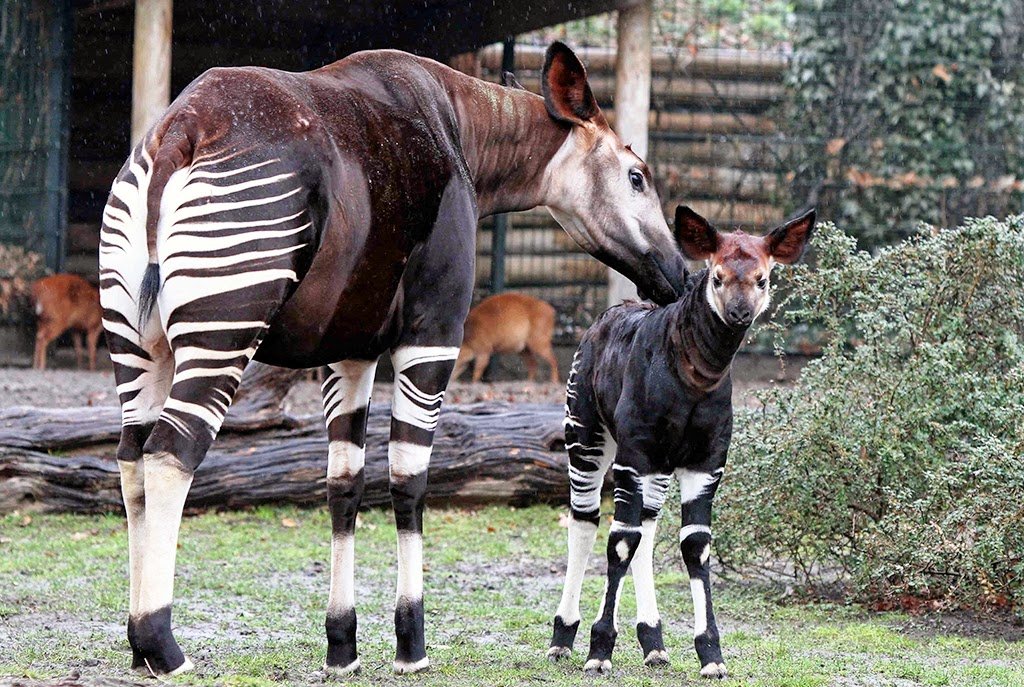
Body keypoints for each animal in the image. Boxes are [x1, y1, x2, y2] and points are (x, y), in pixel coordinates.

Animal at [99, 43, 684, 675]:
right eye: (637, 178)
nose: (678, 276)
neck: (464, 132)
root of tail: (182, 127)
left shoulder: (350, 351)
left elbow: (344, 486)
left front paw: (342, 646)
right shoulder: (434, 332)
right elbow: (410, 481)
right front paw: (412, 643)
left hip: (138, 342)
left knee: (132, 457)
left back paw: (136, 644)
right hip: (225, 328)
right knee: (170, 454)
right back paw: (163, 645)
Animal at [552, 202, 815, 675]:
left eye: (763, 279)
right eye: (717, 277)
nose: (739, 314)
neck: (694, 378)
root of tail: (609, 312)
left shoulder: (705, 463)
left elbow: (694, 545)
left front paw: (711, 654)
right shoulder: (635, 455)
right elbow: (619, 542)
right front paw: (599, 651)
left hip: (656, 465)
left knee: (647, 526)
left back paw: (653, 642)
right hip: (586, 434)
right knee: (586, 520)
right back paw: (563, 637)